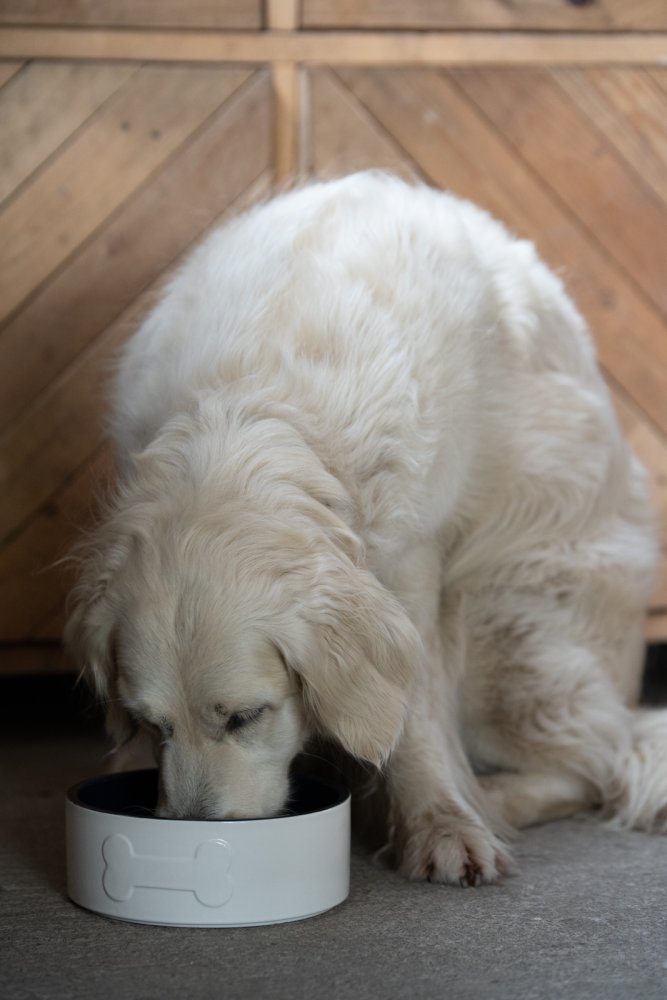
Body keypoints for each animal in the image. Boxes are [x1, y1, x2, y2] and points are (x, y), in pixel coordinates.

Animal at [66, 170, 664, 884]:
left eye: (247, 717)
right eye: (150, 723)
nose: (194, 836)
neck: (249, 408)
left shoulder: (412, 557)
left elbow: (414, 719)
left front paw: (441, 824)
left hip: (504, 642)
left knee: (598, 763)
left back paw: (488, 799)